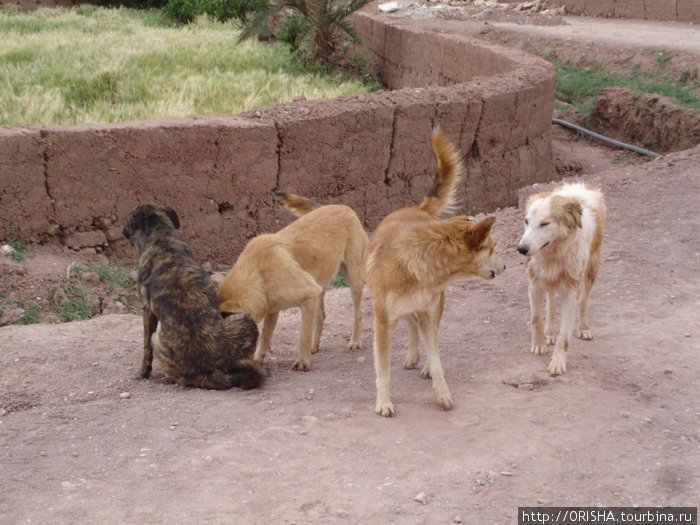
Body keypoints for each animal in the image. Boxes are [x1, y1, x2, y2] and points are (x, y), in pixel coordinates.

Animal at [123, 204, 266, 388]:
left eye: (127, 221)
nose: (122, 231)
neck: (161, 238)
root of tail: (207, 371)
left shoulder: (147, 310)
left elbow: (146, 347)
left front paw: (142, 373)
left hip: (158, 340)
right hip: (245, 321)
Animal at [220, 191, 370, 368]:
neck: (257, 271)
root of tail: (344, 207)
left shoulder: (309, 294)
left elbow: (303, 335)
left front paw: (302, 361)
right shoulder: (273, 309)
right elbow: (265, 337)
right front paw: (257, 359)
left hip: (353, 278)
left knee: (358, 312)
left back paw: (355, 341)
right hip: (320, 284)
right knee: (321, 316)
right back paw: (314, 346)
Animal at [364, 129, 506, 416]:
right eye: (493, 247)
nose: (505, 266)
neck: (418, 263)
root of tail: (418, 209)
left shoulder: (429, 312)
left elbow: (438, 358)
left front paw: (442, 393)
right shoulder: (382, 322)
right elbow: (383, 371)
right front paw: (383, 403)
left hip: (435, 306)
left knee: (426, 332)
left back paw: (424, 362)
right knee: (412, 325)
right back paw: (412, 356)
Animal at [516, 182, 604, 374]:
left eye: (545, 224)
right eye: (526, 221)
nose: (521, 249)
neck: (553, 252)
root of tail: (578, 185)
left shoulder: (570, 291)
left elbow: (564, 335)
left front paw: (557, 362)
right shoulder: (534, 283)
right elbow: (536, 318)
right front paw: (539, 344)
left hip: (591, 269)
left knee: (584, 300)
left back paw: (583, 328)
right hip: (549, 280)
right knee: (550, 304)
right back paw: (549, 333)